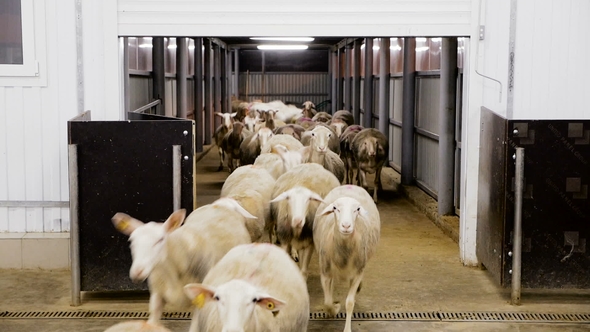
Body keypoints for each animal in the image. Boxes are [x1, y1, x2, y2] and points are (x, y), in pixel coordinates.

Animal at [112, 197, 253, 324]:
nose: (137, 272)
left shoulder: (199, 300)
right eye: (131, 241)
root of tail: (221, 204)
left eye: (160, 239)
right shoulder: (157, 295)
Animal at [314, 184, 384, 332]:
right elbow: (327, 302)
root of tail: (350, 185)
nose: (346, 226)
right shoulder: (325, 272)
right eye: (335, 208)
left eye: (357, 209)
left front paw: (347, 329)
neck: (343, 254)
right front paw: (335, 308)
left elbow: (349, 303)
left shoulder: (356, 274)